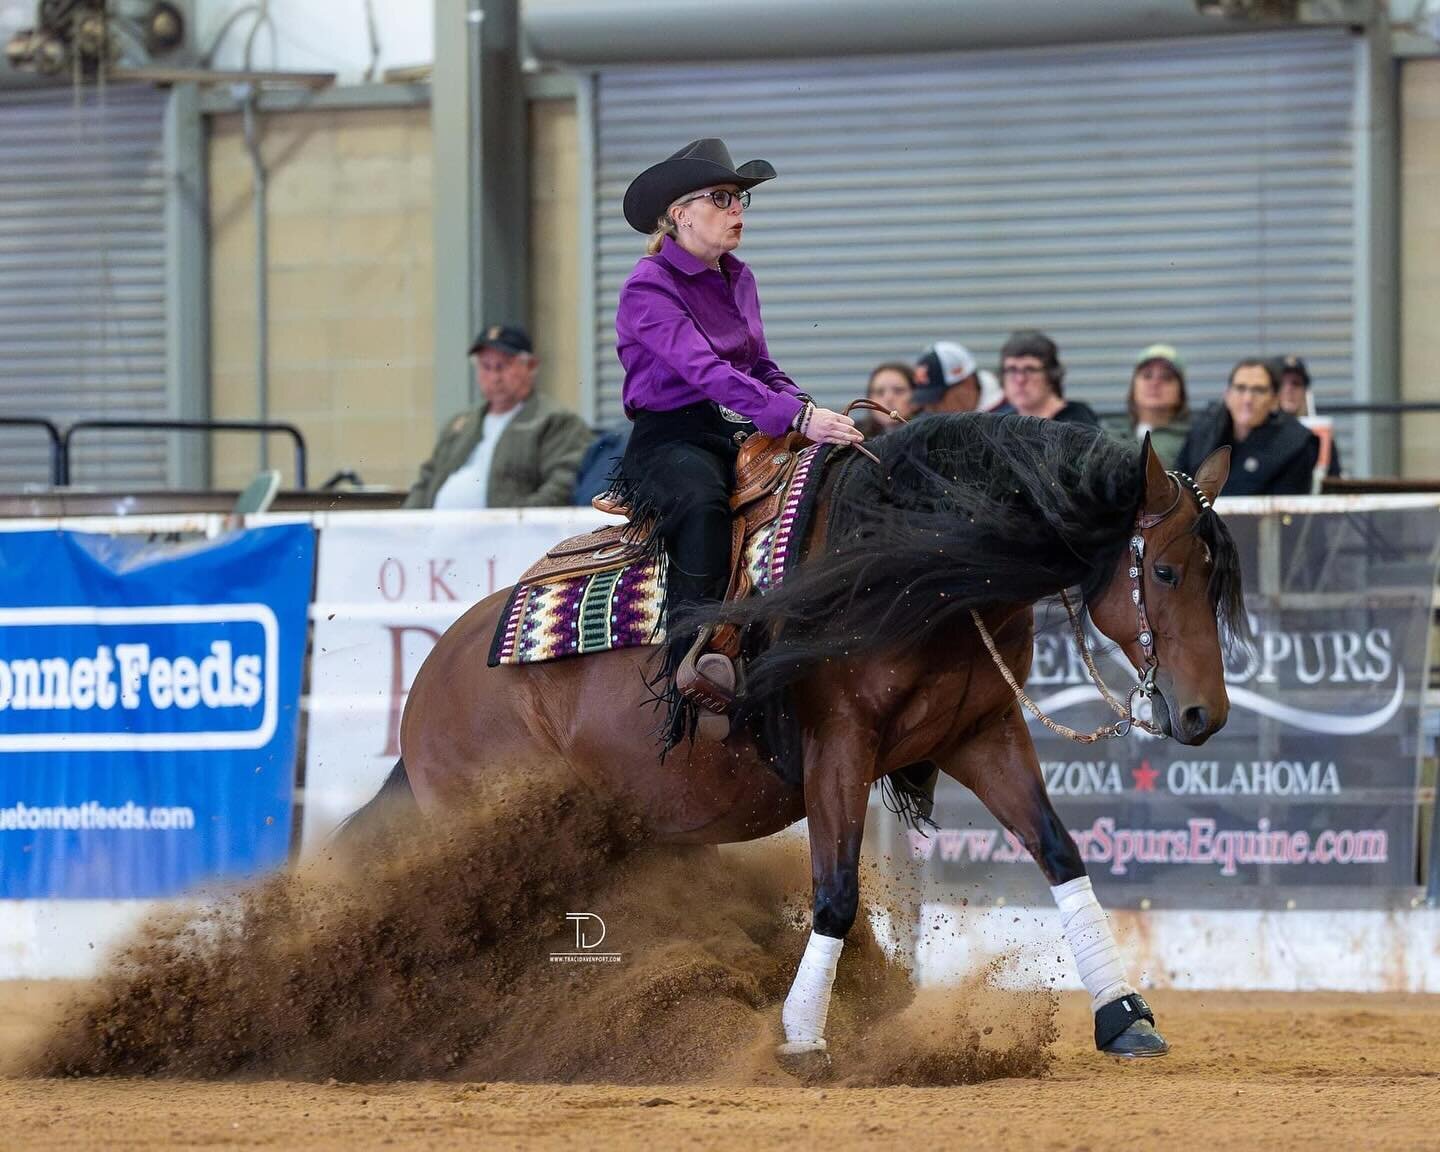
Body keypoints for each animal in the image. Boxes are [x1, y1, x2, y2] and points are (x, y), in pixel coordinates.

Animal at [345, 411, 1238, 1059]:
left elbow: (1059, 853)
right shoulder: (839, 745)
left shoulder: (983, 732)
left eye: (1214, 580)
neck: (917, 560)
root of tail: (433, 682)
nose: (1206, 716)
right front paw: (803, 1036)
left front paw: (1124, 1017)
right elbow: (835, 894)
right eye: (1162, 571)